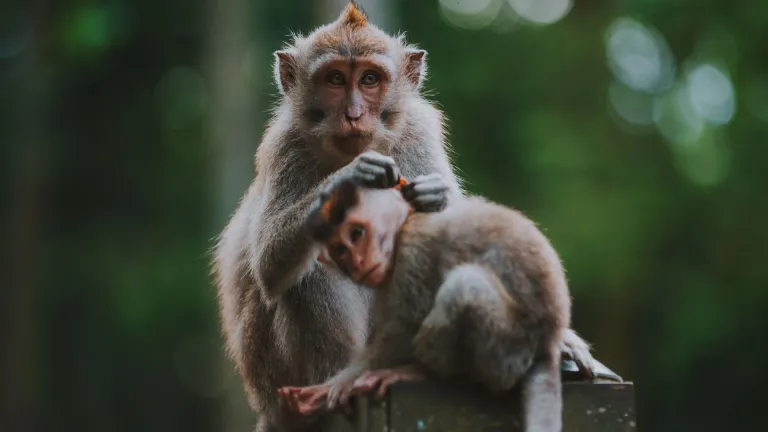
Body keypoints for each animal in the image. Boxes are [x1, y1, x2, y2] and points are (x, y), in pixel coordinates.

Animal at [280, 177, 568, 430]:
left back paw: (423, 372)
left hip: (508, 351)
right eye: (340, 250)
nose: (358, 263)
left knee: (464, 286)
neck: (406, 224)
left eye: (357, 233)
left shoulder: (413, 253)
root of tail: (548, 343)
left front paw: (336, 386)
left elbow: (404, 328)